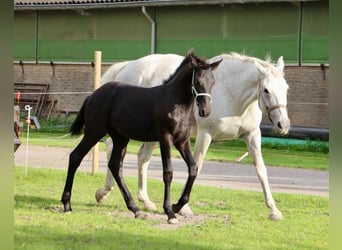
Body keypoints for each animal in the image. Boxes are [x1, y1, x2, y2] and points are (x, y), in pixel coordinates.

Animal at [61, 50, 222, 223]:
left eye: (213, 81)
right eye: (197, 81)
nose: (205, 111)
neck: (176, 103)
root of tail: (93, 95)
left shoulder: (182, 142)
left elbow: (193, 168)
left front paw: (177, 206)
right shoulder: (165, 139)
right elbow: (168, 173)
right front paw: (169, 212)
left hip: (120, 138)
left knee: (115, 166)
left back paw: (136, 209)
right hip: (94, 132)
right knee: (75, 157)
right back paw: (67, 205)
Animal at [95, 52, 290, 221]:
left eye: (286, 88)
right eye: (266, 90)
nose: (283, 125)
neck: (231, 93)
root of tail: (128, 66)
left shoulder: (252, 135)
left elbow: (261, 170)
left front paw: (274, 210)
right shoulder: (205, 135)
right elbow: (197, 167)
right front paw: (183, 208)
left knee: (142, 157)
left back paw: (146, 201)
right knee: (112, 148)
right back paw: (104, 192)